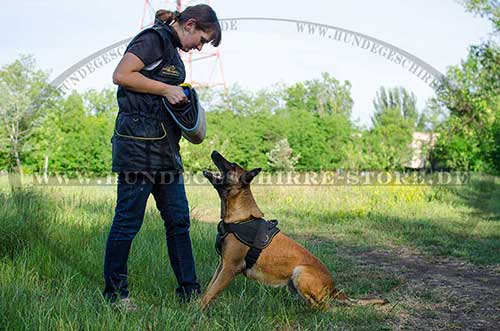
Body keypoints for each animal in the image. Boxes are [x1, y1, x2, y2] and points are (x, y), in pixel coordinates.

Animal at [201, 152, 388, 310]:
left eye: (232, 165)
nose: (214, 152)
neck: (240, 218)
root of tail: (334, 288)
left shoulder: (230, 268)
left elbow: (209, 293)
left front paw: (197, 312)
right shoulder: (222, 264)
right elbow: (209, 288)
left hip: (300, 272)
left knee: (323, 307)